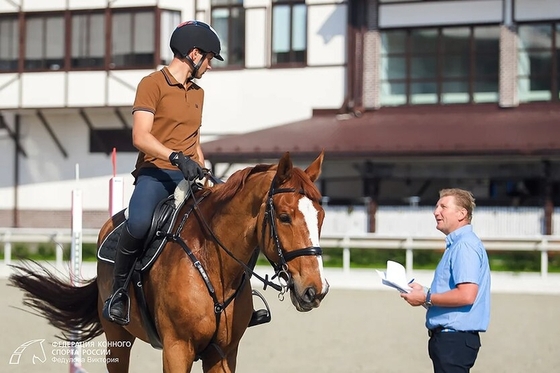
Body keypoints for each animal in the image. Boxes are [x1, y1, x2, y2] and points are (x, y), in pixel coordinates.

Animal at [8, 150, 330, 370]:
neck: (213, 264)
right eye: (285, 217)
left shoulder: (224, 353)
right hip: (117, 340)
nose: (315, 290)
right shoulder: (177, 349)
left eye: (321, 217)